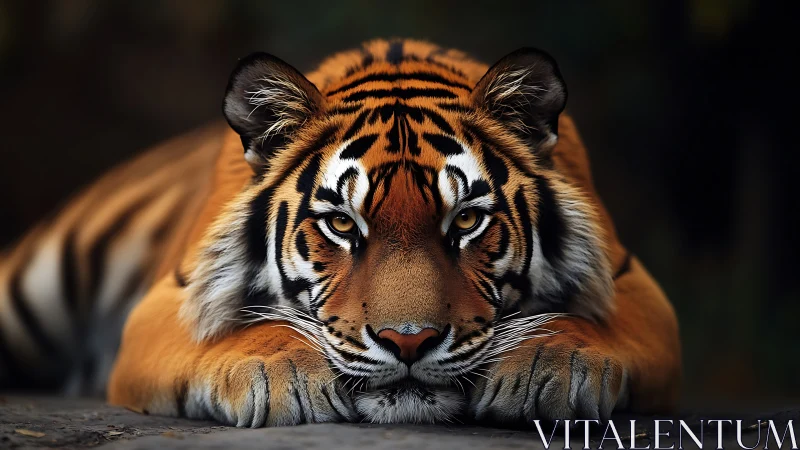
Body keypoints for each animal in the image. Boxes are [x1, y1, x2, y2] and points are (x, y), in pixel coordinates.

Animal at [0, 39, 681, 427]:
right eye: (341, 224)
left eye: (466, 220)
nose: (409, 343)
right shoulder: (167, 300)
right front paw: (279, 373)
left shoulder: (633, 281)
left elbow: (589, 325)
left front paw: (546, 365)